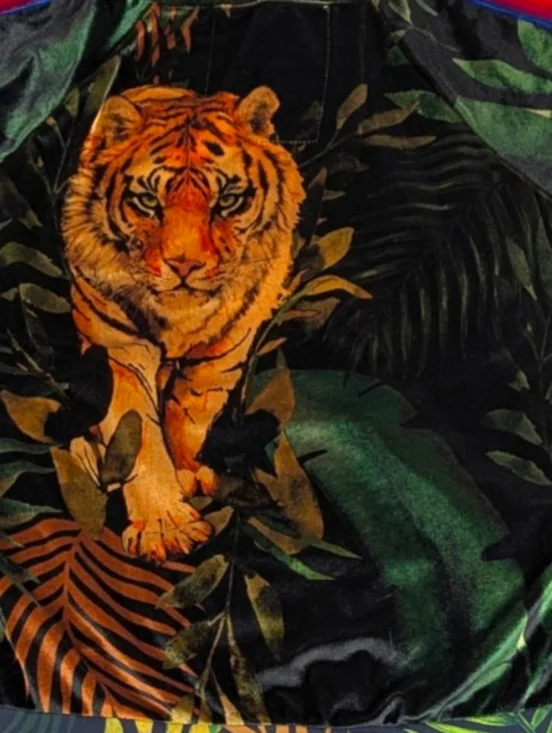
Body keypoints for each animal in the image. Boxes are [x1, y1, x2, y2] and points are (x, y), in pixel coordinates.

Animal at [61, 85, 305, 563]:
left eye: (227, 200)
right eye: (148, 202)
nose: (185, 265)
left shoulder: (224, 352)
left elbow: (190, 417)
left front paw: (188, 474)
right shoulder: (117, 351)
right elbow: (137, 434)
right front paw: (165, 528)